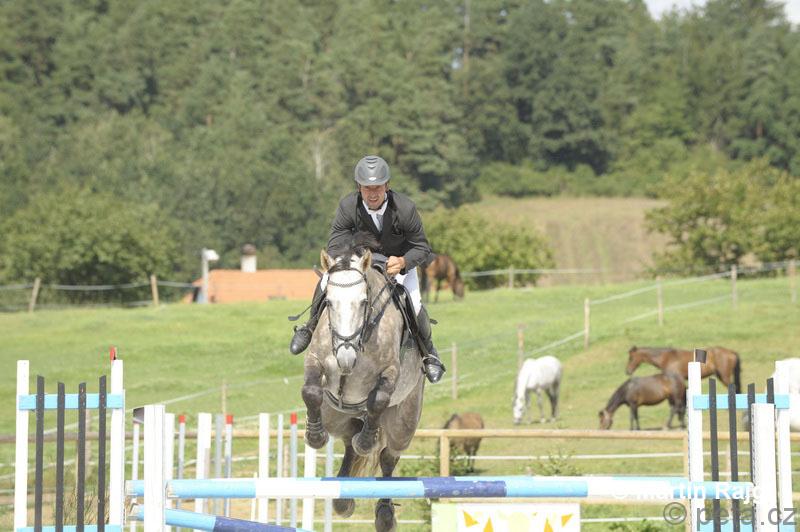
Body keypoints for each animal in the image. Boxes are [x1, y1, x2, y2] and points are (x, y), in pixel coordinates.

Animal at [301, 239, 425, 532]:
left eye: (363, 302)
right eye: (329, 302)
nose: (346, 359)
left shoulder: (390, 371)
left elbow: (377, 400)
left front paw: (367, 442)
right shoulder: (315, 361)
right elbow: (310, 391)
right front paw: (315, 436)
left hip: (404, 422)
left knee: (388, 455)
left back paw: (385, 514)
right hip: (334, 415)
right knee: (348, 440)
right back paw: (344, 498)